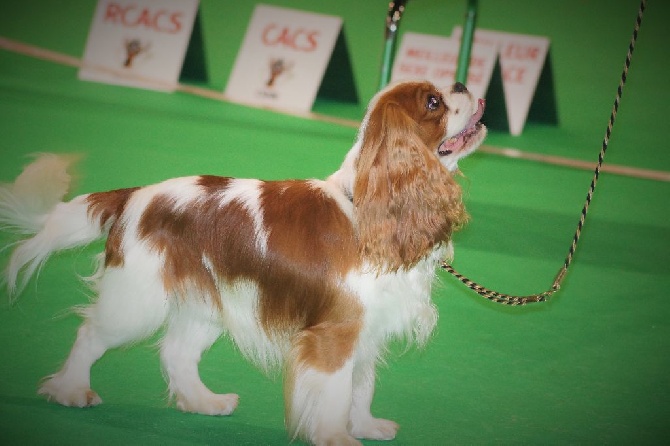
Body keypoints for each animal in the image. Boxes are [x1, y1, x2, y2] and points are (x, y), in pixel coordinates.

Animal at [0, 81, 484, 446]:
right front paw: (336, 438)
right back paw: (70, 391)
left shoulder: (367, 329)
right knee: (91, 334)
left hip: (206, 304)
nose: (463, 83)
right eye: (434, 102)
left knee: (177, 351)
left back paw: (203, 402)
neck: (364, 204)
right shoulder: (334, 333)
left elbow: (361, 387)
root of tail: (134, 195)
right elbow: (335, 394)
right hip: (136, 301)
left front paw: (365, 427)